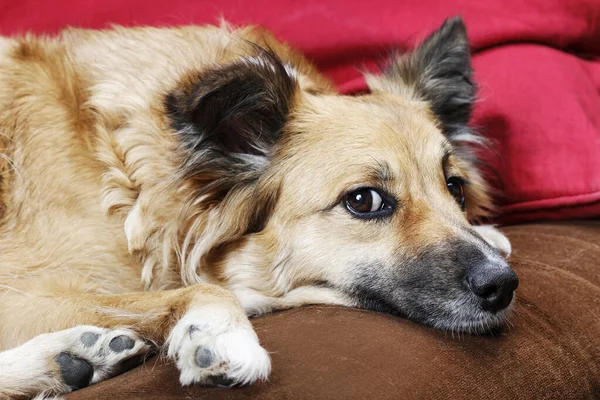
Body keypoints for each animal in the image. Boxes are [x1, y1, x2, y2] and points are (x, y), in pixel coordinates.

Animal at [0, 15, 516, 396]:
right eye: (364, 200)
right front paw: (221, 331)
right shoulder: (19, 293)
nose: (504, 286)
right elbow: (204, 291)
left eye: (456, 188)